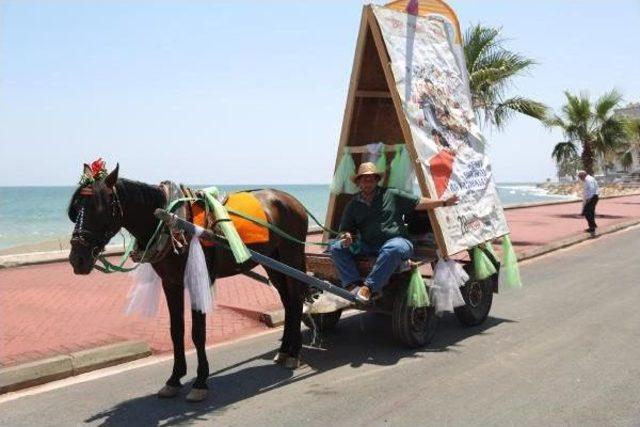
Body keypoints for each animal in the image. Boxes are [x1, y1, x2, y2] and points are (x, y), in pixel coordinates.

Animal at [69, 164, 308, 402]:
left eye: (98, 208)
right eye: (75, 209)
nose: (77, 259)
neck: (171, 221)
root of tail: (293, 200)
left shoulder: (197, 281)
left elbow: (197, 333)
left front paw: (200, 382)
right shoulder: (171, 283)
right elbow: (176, 331)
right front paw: (174, 379)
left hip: (291, 256)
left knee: (296, 301)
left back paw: (294, 353)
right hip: (274, 263)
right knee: (288, 302)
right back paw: (285, 350)